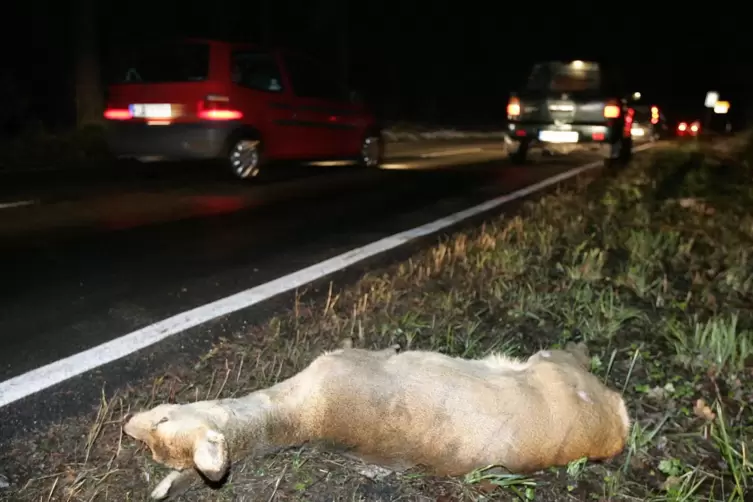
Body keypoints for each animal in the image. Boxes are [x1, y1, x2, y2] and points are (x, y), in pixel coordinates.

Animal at [123, 342, 628, 498]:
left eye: (162, 418)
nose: (127, 424)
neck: (299, 414)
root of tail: (617, 435)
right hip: (556, 370)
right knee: (575, 360)